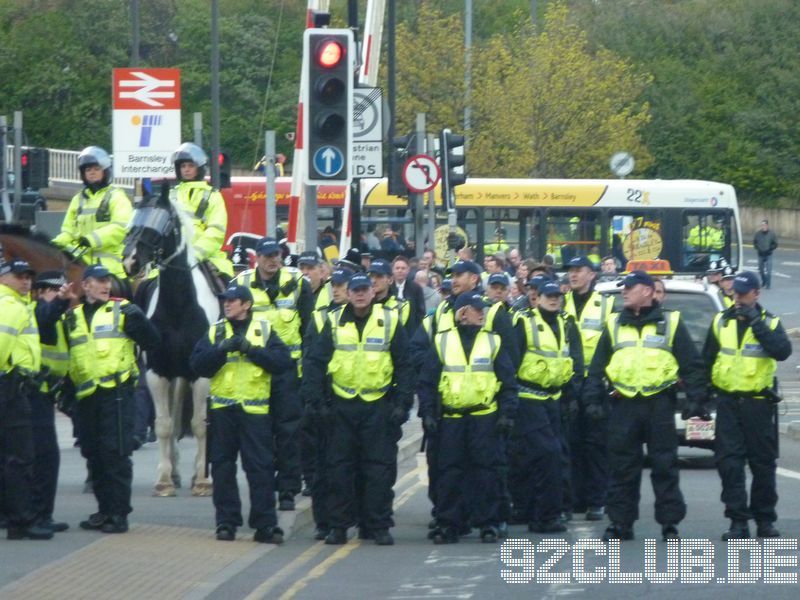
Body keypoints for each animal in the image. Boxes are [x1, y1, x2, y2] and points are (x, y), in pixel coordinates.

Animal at [122, 186, 217, 496]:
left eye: (160, 223)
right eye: (135, 217)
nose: (130, 261)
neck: (179, 306)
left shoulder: (202, 374)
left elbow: (200, 424)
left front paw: (203, 480)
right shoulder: (157, 372)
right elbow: (164, 425)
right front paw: (163, 480)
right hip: (177, 375)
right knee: (174, 422)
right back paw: (175, 472)